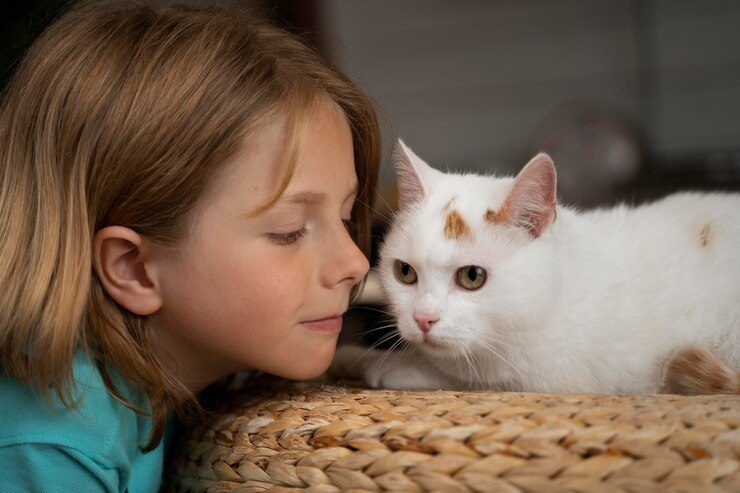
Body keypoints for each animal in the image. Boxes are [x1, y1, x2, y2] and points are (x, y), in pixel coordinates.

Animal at [334, 140, 740, 394]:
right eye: (405, 272)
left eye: (472, 276)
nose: (422, 318)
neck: (557, 288)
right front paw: (348, 355)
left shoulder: (559, 376)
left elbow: (464, 376)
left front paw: (390, 364)